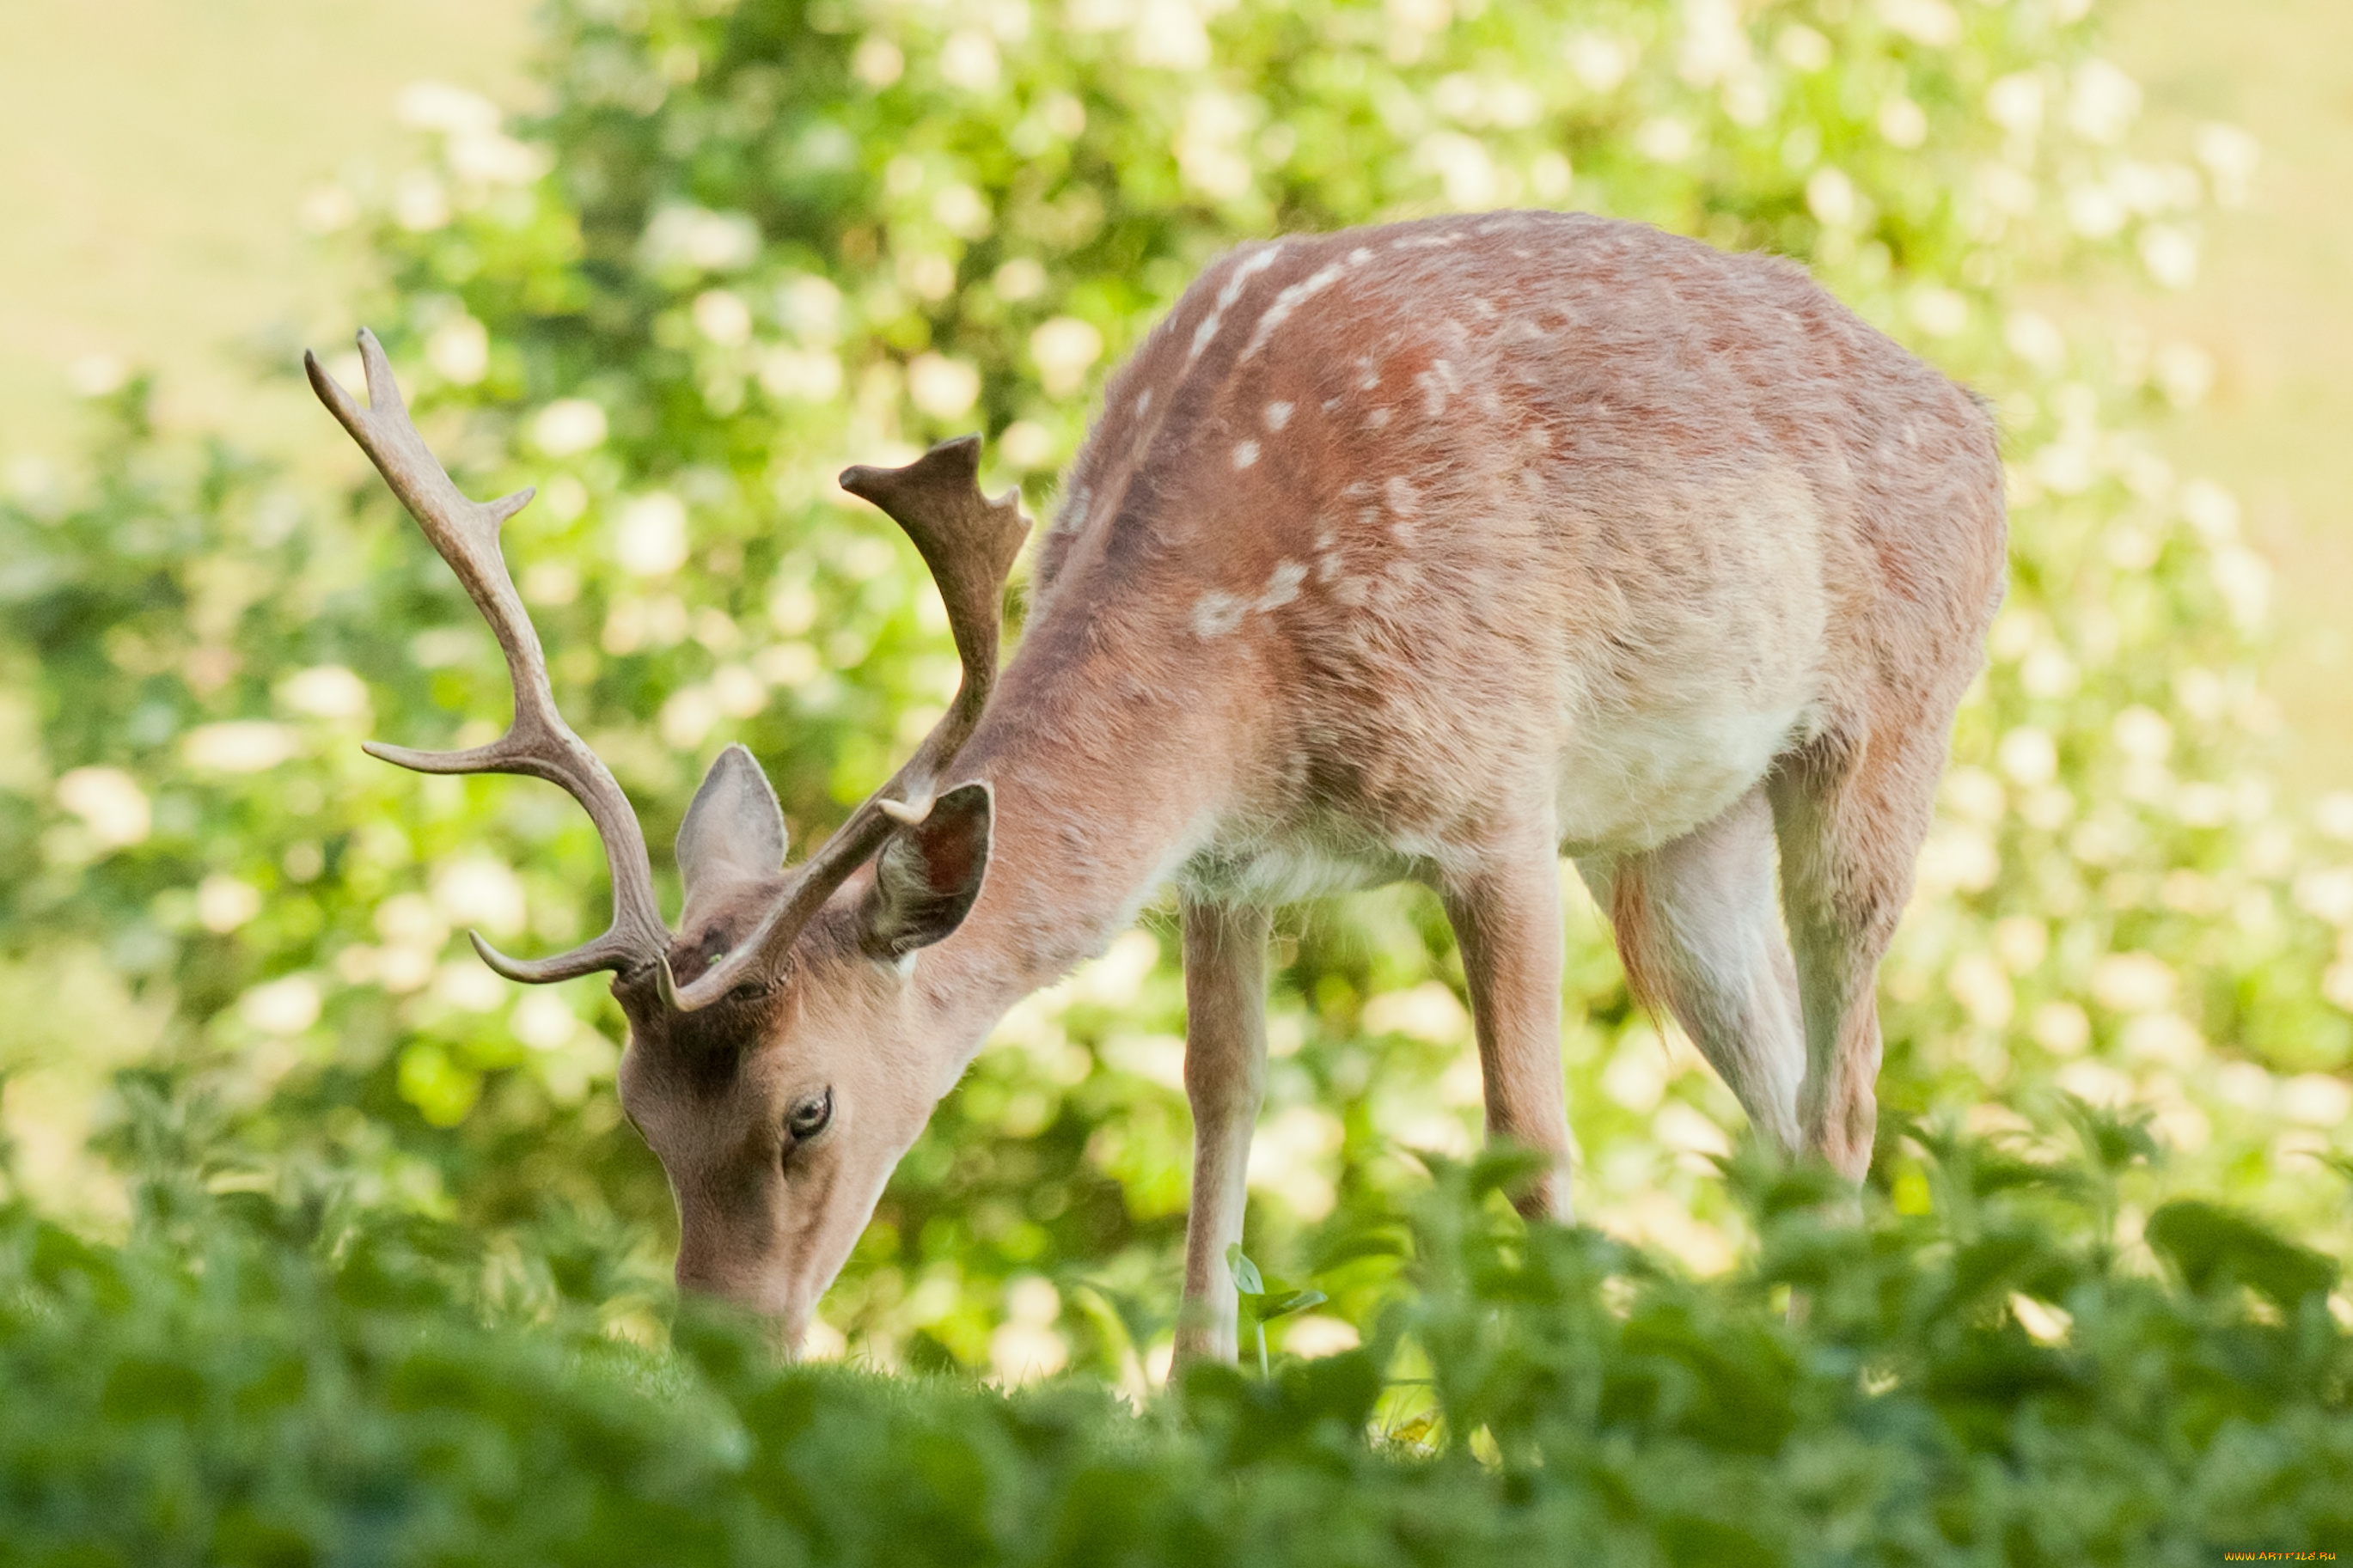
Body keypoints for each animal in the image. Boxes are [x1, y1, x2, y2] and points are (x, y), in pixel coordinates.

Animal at [308, 205, 2004, 1363]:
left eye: (806, 1111)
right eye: (633, 1114)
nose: (721, 1351)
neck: (1246, 673)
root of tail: (1982, 418)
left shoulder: (1497, 799)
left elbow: (1525, 1127)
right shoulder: (1226, 866)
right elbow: (1220, 1095)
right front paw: (1199, 1389)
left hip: (1886, 725)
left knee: (1850, 1081)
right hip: (1673, 830)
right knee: (1774, 1085)